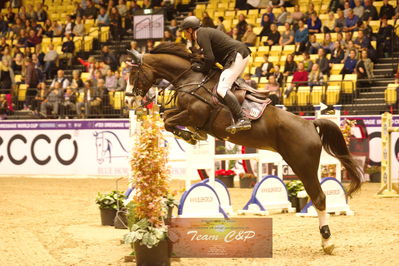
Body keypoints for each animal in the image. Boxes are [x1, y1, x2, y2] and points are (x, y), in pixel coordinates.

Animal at [126, 42, 364, 255]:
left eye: (133, 73)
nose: (129, 101)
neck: (191, 79)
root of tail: (311, 124)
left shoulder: (195, 114)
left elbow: (168, 120)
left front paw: (189, 135)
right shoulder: (184, 112)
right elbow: (167, 117)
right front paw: (191, 134)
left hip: (303, 166)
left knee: (319, 197)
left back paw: (328, 241)